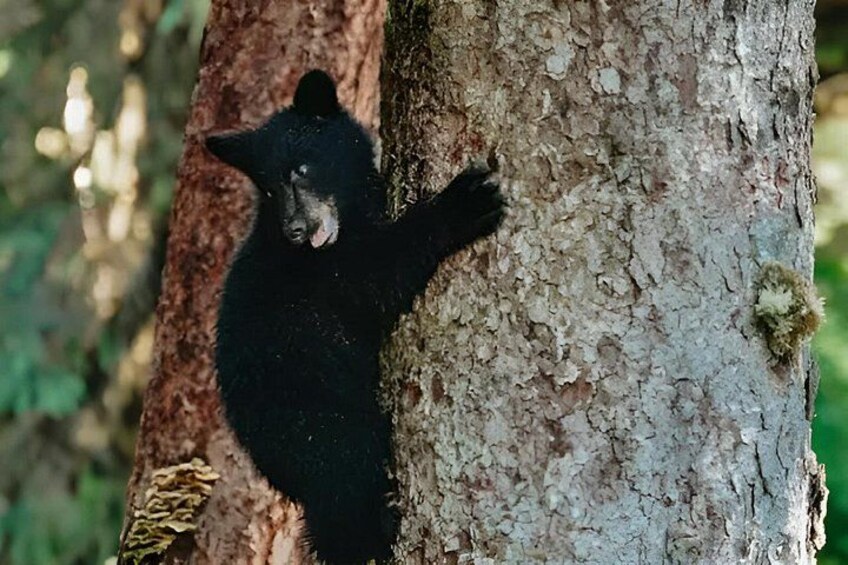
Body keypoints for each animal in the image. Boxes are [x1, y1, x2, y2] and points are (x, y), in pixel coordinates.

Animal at [206, 70, 505, 564]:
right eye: (267, 187)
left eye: (301, 169)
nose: (294, 230)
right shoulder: (328, 276)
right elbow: (379, 277)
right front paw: (464, 203)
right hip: (321, 420)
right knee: (346, 485)